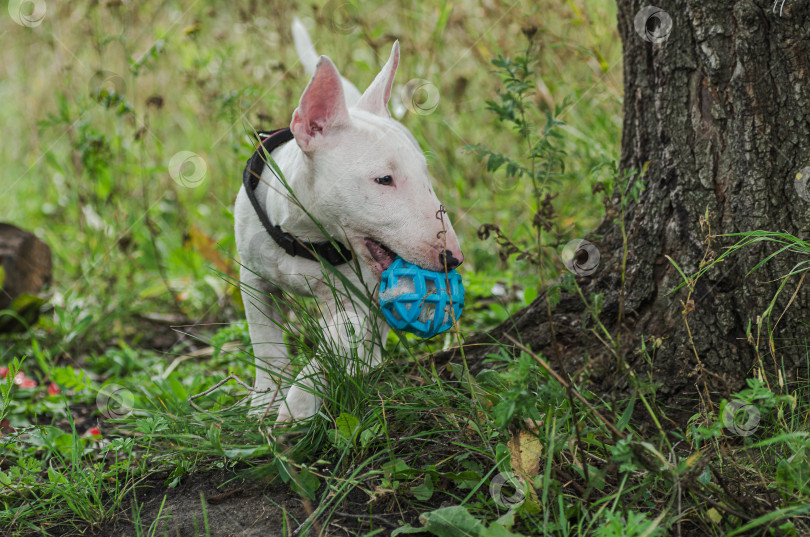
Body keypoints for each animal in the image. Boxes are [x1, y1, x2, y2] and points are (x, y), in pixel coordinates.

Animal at [232, 19, 460, 422]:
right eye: (383, 179)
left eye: (426, 177)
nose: (453, 258)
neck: (304, 238)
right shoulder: (252, 278)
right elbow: (265, 343)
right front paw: (263, 403)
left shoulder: (356, 300)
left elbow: (335, 345)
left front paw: (296, 409)